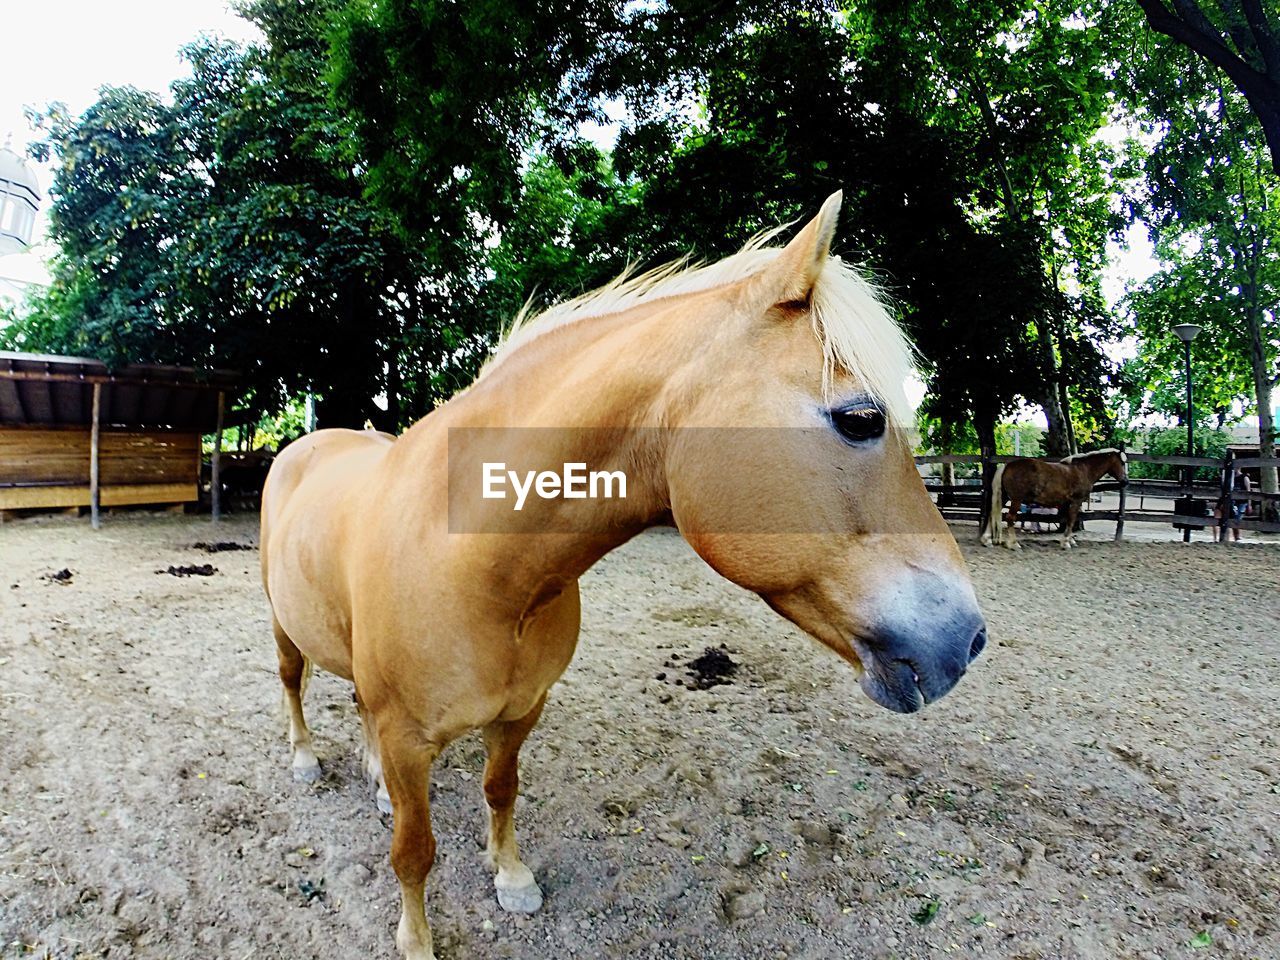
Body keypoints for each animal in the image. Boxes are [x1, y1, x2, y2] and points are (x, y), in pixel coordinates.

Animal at [259, 192, 988, 957]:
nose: (967, 638)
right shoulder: (407, 739)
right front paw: (417, 940)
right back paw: (305, 760)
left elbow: (500, 790)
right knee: (292, 681)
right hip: (284, 627)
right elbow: (414, 851)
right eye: (861, 419)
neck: (479, 571)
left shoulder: (520, 713)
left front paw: (511, 878)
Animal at [983, 455, 1126, 552]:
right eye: (1122, 463)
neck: (1083, 470)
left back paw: (987, 540)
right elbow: (1072, 520)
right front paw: (1066, 543)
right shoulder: (1076, 501)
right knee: (1010, 518)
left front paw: (1070, 540)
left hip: (1004, 497)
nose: (1126, 481)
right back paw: (1014, 544)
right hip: (1016, 500)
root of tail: (1007, 466)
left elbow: (1067, 519)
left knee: (991, 514)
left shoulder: (1066, 503)